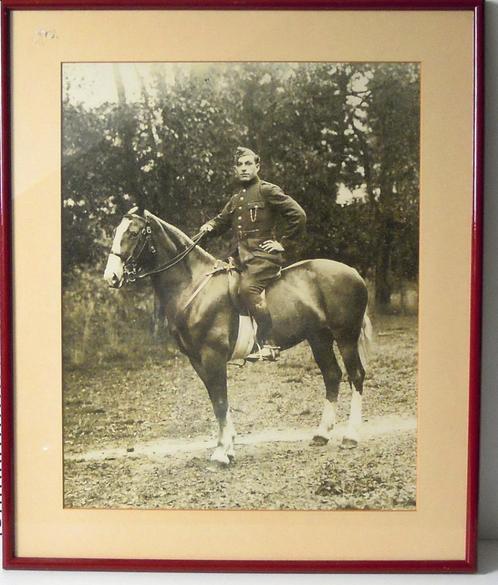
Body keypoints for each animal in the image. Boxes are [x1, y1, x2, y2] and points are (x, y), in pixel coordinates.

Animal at [103, 205, 372, 466]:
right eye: (116, 231)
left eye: (133, 233)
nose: (111, 277)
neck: (195, 286)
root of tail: (353, 272)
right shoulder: (197, 359)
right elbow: (216, 400)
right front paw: (228, 447)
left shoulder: (212, 355)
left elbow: (221, 401)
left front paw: (221, 453)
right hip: (319, 338)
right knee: (332, 376)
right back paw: (322, 434)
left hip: (345, 336)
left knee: (356, 376)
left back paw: (350, 436)